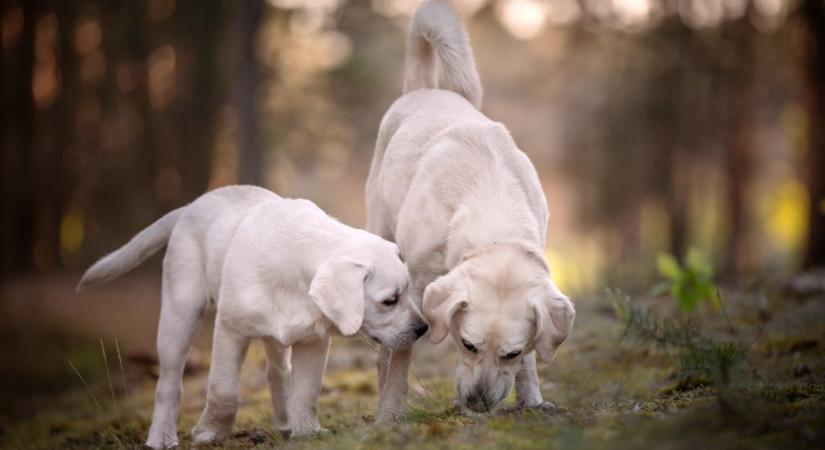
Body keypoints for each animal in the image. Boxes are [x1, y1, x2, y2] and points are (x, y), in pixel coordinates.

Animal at [77, 185, 428, 446]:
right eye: (390, 300)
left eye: (407, 292)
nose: (423, 328)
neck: (296, 278)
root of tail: (192, 205)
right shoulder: (229, 330)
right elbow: (223, 389)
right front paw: (209, 432)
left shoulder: (313, 340)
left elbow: (307, 388)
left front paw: (307, 431)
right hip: (180, 311)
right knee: (169, 381)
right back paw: (161, 437)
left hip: (275, 336)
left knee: (278, 373)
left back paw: (285, 422)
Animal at [366, 0, 572, 418]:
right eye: (467, 344)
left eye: (511, 353)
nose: (477, 405)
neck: (490, 202)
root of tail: (424, 89)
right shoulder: (415, 294)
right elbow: (402, 356)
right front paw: (391, 415)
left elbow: (532, 360)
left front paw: (532, 400)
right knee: (386, 349)